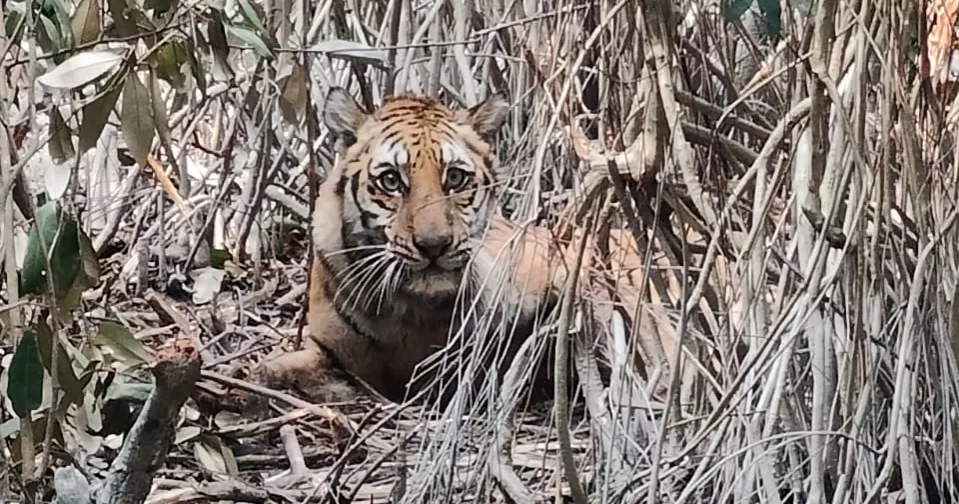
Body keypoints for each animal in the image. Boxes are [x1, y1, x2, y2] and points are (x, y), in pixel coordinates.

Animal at [244, 87, 679, 407]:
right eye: (391, 181)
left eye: (454, 178)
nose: (433, 245)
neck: (407, 310)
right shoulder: (330, 349)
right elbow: (270, 369)